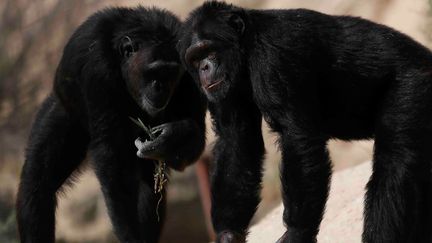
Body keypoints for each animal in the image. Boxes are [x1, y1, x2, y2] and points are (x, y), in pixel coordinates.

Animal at [16, 6, 206, 243]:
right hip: (65, 109)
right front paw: (130, 235)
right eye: (154, 71)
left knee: (148, 181)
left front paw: (172, 136)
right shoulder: (97, 68)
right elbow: (111, 156)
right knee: (37, 182)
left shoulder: (191, 70)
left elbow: (195, 140)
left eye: (171, 73)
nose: (161, 87)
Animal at [178, 1, 432, 243]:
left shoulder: (275, 57)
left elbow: (297, 136)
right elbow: (236, 140)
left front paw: (296, 233)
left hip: (412, 85)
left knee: (394, 167)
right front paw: (228, 234)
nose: (204, 67)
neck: (247, 50)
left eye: (209, 50)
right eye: (195, 58)